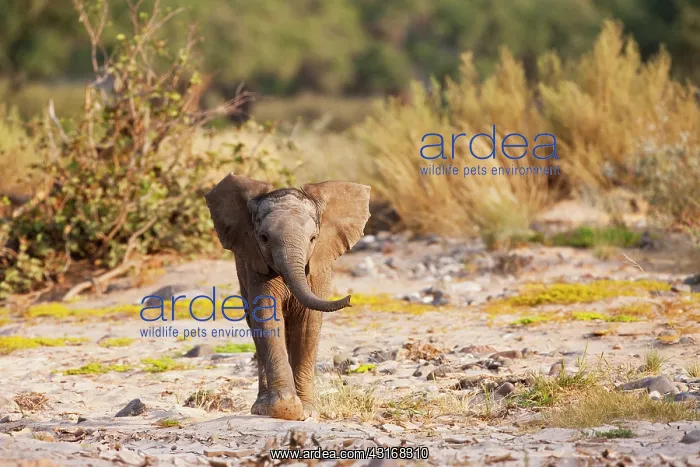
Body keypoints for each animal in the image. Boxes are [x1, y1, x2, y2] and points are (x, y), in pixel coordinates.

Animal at [204, 173, 371, 420]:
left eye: (313, 239)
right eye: (263, 238)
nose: (350, 299)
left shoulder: (318, 270)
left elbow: (308, 322)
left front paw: (307, 412)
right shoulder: (255, 263)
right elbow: (267, 315)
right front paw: (286, 408)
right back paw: (261, 408)